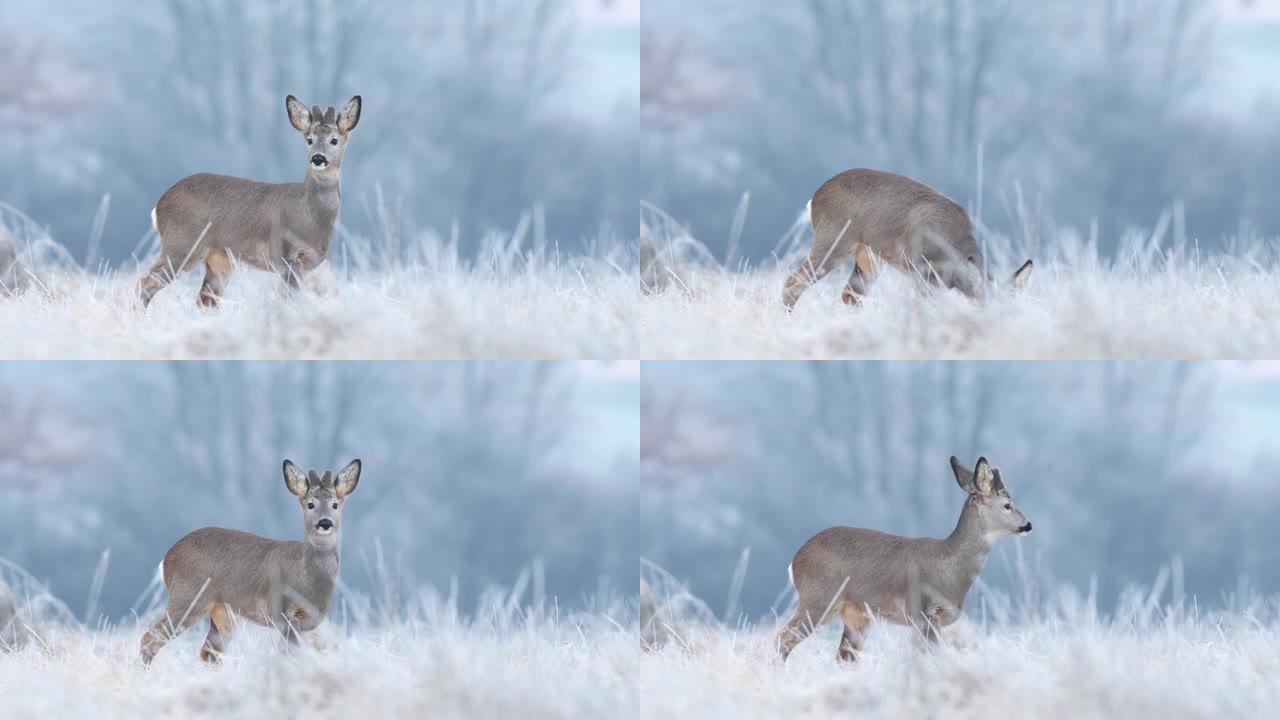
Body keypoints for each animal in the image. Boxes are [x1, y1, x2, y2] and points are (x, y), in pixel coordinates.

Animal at [138, 92, 363, 304]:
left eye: (334, 140)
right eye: (309, 140)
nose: (318, 158)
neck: (310, 217)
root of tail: (159, 206)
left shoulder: (306, 264)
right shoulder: (285, 255)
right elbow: (290, 298)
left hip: (219, 259)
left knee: (205, 300)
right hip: (183, 243)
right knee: (145, 283)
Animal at [140, 458, 360, 661]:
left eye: (335, 505)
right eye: (310, 504)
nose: (325, 522)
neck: (307, 579)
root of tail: (166, 559)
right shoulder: (284, 613)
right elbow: (289, 655)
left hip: (222, 612)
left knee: (208, 653)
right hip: (188, 596)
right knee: (149, 639)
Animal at [773, 169, 1034, 310]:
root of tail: (815, 198)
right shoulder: (921, 271)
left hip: (869, 256)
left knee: (850, 295)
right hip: (835, 240)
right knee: (793, 282)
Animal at [773, 453, 1034, 661]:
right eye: (1007, 505)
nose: (1028, 525)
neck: (950, 568)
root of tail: (795, 561)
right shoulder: (922, 611)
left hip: (856, 617)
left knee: (842, 657)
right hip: (819, 598)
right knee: (781, 639)